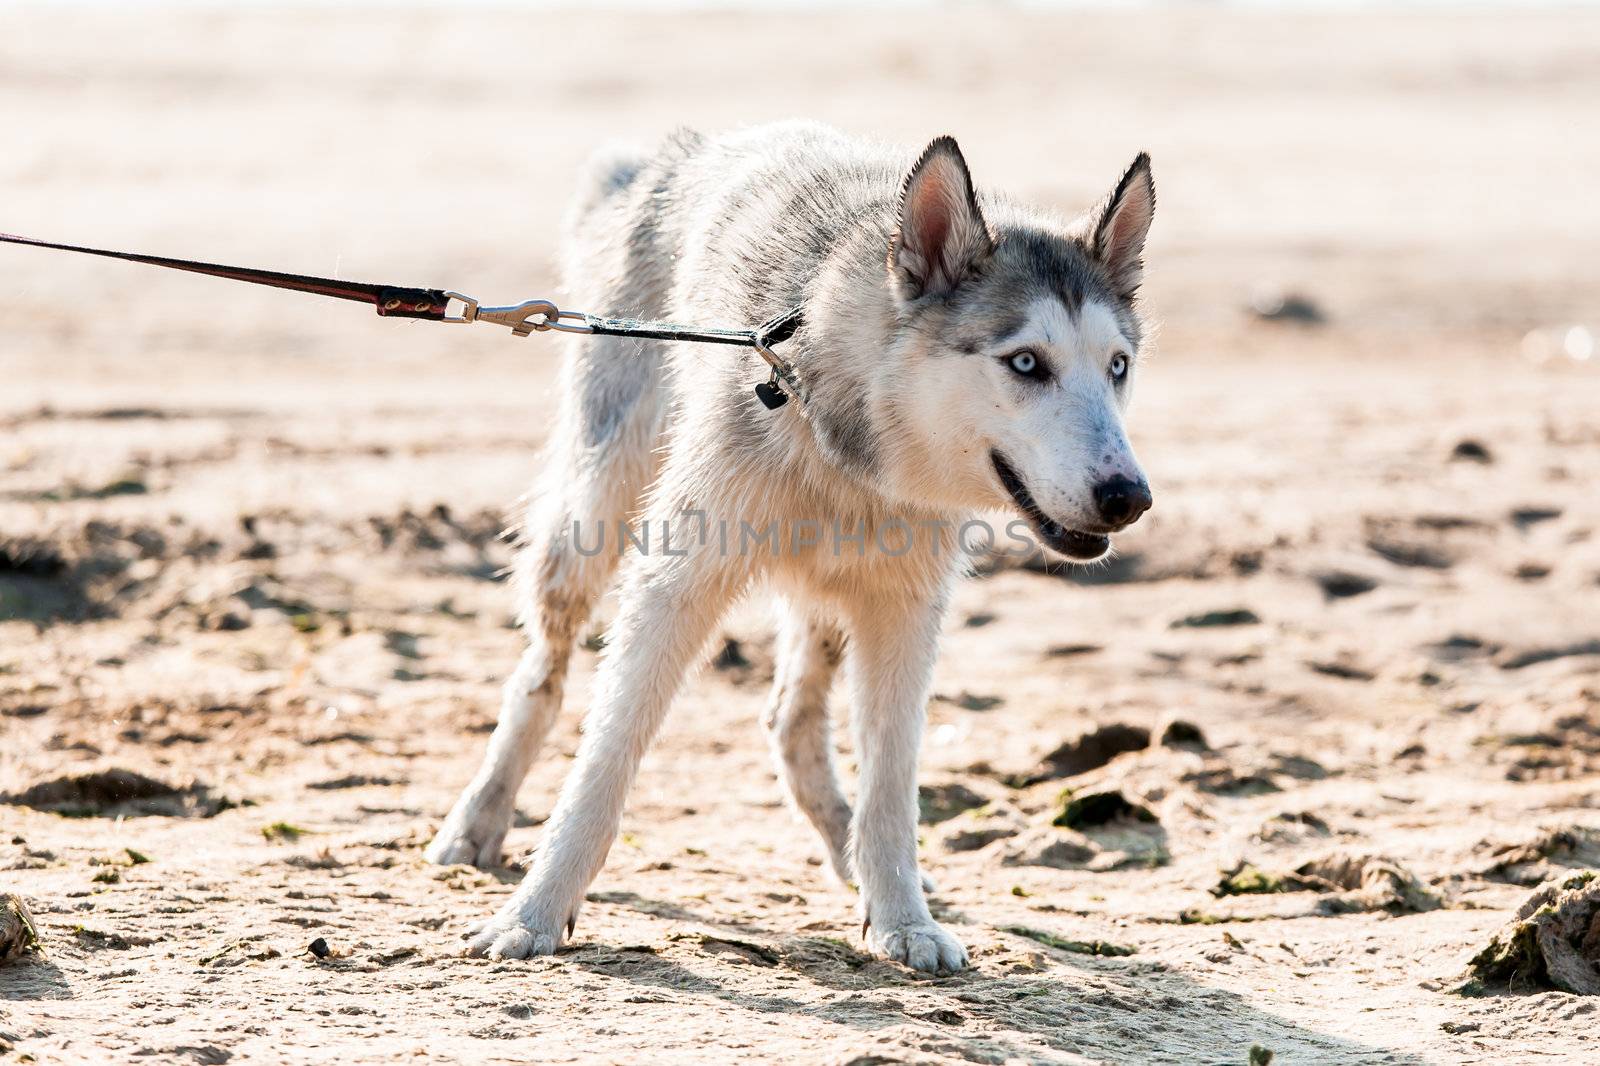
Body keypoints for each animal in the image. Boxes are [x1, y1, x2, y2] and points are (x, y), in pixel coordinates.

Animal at [425, 120, 1152, 966]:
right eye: (1027, 363)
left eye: (1118, 367)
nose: (1129, 497)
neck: (840, 435)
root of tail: (673, 148)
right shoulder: (675, 586)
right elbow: (602, 764)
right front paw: (535, 912)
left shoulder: (906, 612)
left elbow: (891, 788)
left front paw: (902, 917)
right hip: (589, 521)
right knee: (541, 675)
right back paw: (480, 817)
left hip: (834, 591)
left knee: (791, 720)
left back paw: (847, 849)